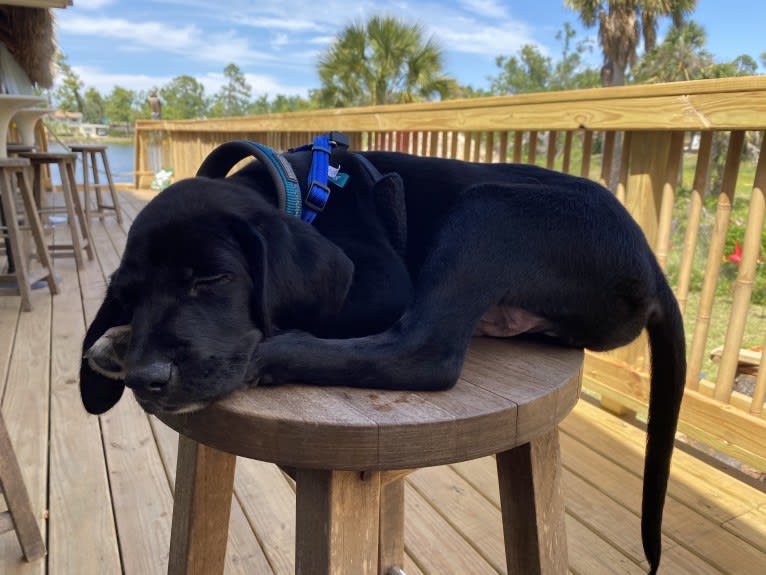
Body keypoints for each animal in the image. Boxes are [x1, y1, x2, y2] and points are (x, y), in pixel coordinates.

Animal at [81, 137, 688, 572]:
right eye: (129, 294)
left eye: (211, 278)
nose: (148, 378)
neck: (301, 194)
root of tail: (651, 264)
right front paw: (117, 338)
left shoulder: (381, 283)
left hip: (491, 208)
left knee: (426, 352)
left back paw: (276, 354)